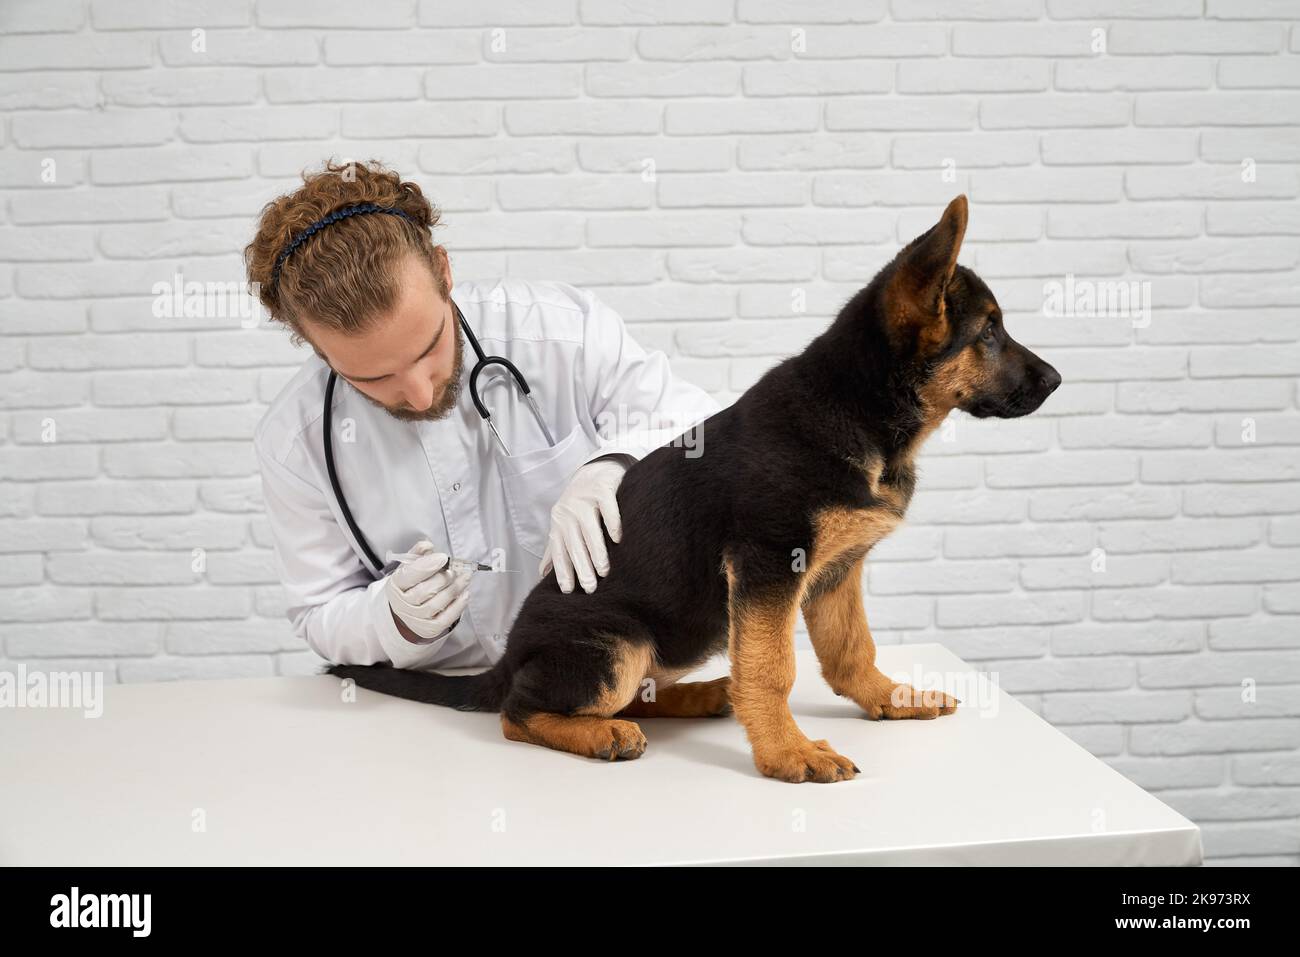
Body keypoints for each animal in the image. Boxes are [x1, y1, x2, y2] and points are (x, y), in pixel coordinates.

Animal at [330, 196, 1060, 785]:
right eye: (989, 332)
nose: (1056, 380)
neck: (862, 406)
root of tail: (508, 657)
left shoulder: (835, 573)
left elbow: (851, 648)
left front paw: (887, 697)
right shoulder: (768, 563)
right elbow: (773, 668)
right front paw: (788, 753)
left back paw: (704, 695)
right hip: (618, 643)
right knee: (520, 712)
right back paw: (604, 731)